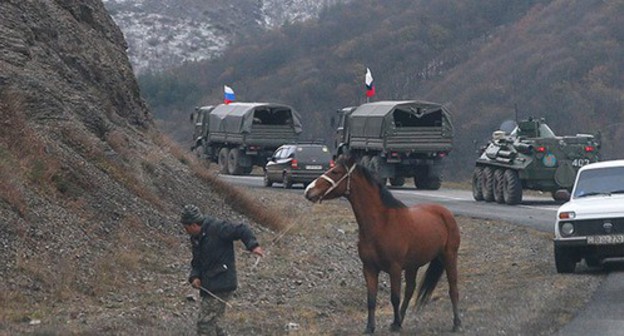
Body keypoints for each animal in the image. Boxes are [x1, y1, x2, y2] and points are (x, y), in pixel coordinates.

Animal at [304, 154, 460, 334]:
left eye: (335, 172)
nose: (308, 190)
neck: (381, 223)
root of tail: (445, 212)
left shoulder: (395, 268)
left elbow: (394, 297)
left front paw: (394, 325)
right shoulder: (369, 268)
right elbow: (371, 299)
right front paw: (370, 327)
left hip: (449, 256)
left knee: (453, 288)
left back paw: (456, 323)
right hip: (413, 265)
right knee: (410, 289)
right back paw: (400, 320)